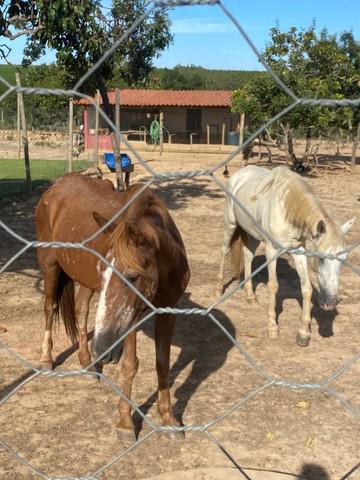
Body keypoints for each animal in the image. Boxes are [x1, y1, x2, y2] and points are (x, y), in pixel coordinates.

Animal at [35, 174, 190, 440]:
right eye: (103, 270)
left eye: (133, 276)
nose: (103, 349)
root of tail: (55, 187)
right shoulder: (132, 318)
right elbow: (130, 365)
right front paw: (126, 423)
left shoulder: (168, 310)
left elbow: (163, 364)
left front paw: (169, 419)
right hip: (50, 265)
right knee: (49, 307)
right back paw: (47, 359)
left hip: (84, 278)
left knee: (82, 309)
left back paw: (88, 362)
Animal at [217, 165, 354, 344]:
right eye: (322, 258)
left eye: (344, 260)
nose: (330, 302)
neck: (287, 208)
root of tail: (238, 174)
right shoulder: (272, 250)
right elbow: (273, 286)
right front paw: (272, 328)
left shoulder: (299, 251)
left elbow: (306, 288)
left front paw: (303, 333)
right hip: (230, 225)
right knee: (224, 251)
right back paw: (218, 290)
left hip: (253, 234)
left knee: (248, 256)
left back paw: (251, 296)